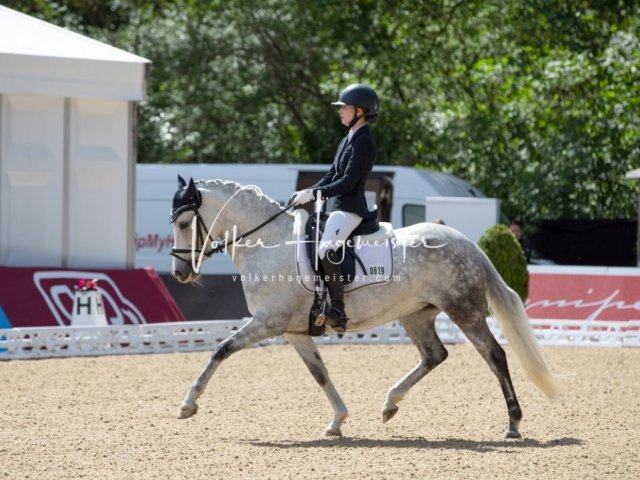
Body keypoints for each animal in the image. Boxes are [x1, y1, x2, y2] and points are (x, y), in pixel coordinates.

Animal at [170, 176, 559, 439]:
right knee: (434, 355)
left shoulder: (268, 322)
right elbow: (320, 373)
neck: (270, 244)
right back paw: (390, 404)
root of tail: (467, 242)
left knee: (494, 355)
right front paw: (337, 421)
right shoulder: (294, 331)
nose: (180, 273)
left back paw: (513, 423)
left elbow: (220, 351)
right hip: (415, 315)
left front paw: (188, 403)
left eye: (185, 223)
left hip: (464, 310)